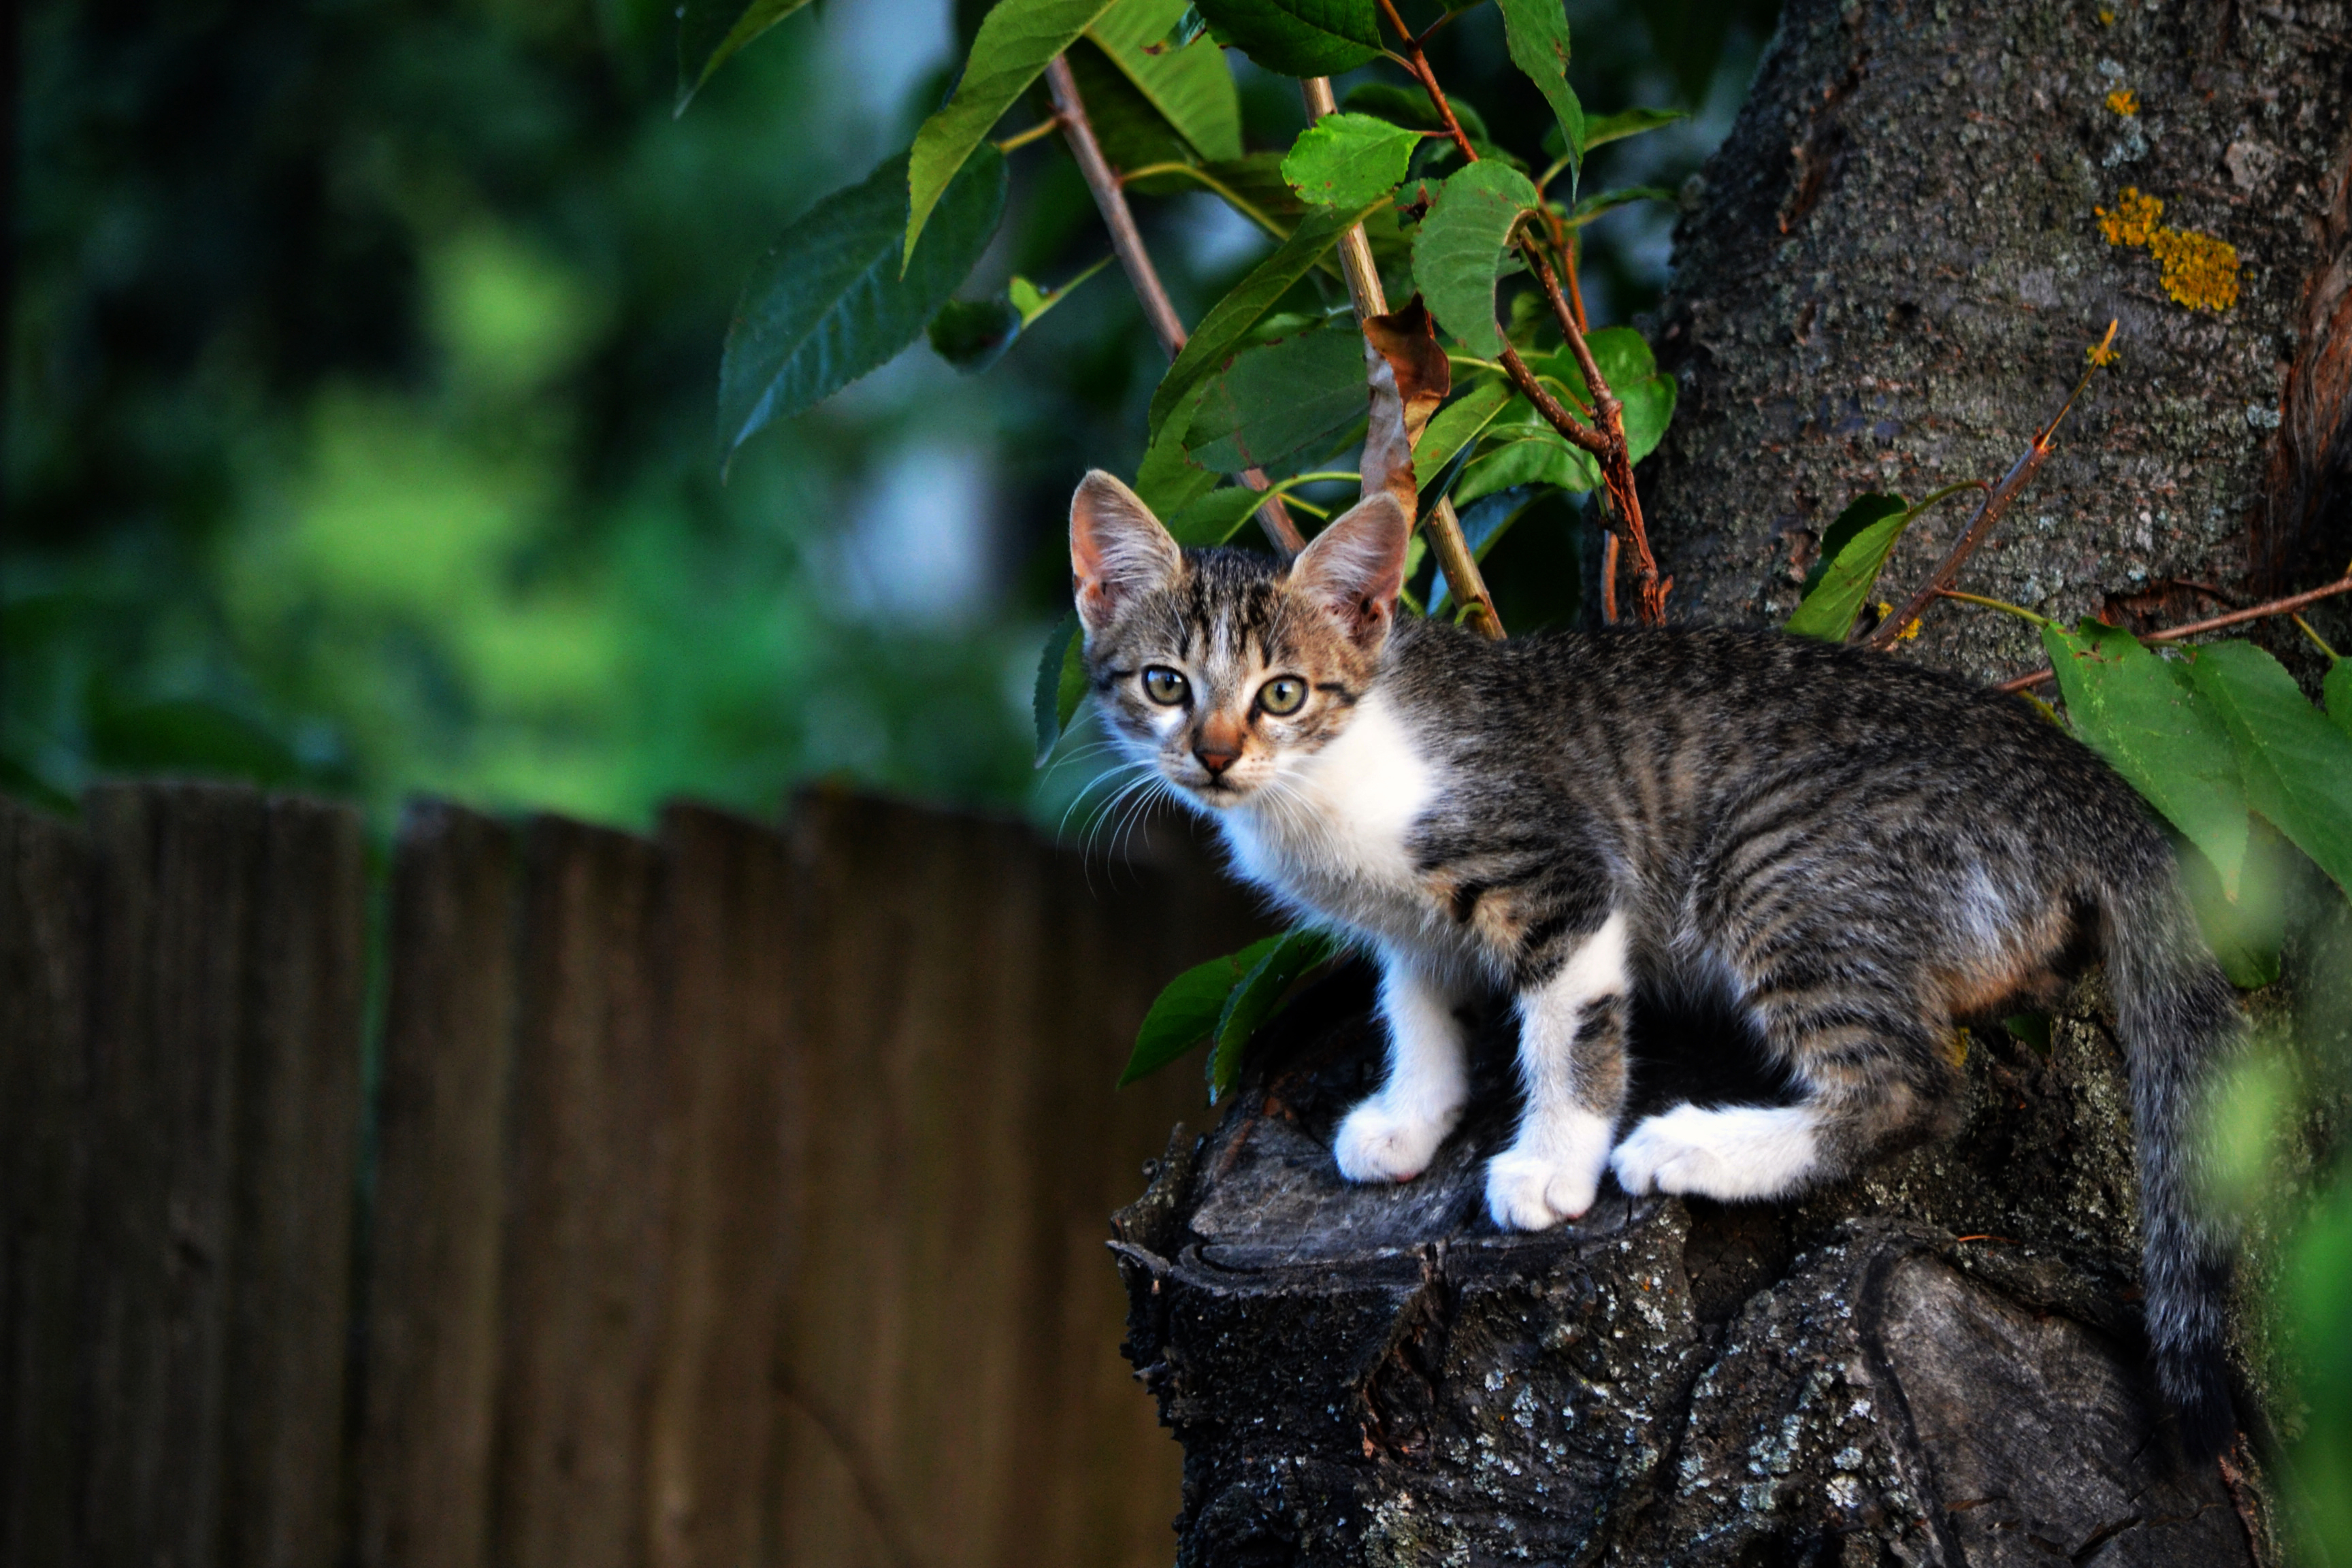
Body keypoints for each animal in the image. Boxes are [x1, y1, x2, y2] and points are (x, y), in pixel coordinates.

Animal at [1068, 465, 2239, 1457]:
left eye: (1283, 693)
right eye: (1166, 685)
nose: (1214, 755)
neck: (1330, 774)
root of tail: (2072, 769)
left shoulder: (1563, 876)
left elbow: (1571, 1029)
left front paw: (1552, 1166)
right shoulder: (1408, 918)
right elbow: (1417, 998)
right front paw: (1411, 1115)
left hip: (1775, 863)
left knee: (1912, 1085)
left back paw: (1699, 1150)